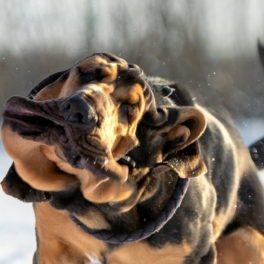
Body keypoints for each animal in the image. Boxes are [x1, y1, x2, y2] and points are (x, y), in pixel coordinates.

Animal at [1, 52, 264, 262]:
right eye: (87, 73)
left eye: (129, 108)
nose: (79, 109)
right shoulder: (54, 247)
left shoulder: (195, 255)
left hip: (246, 241)